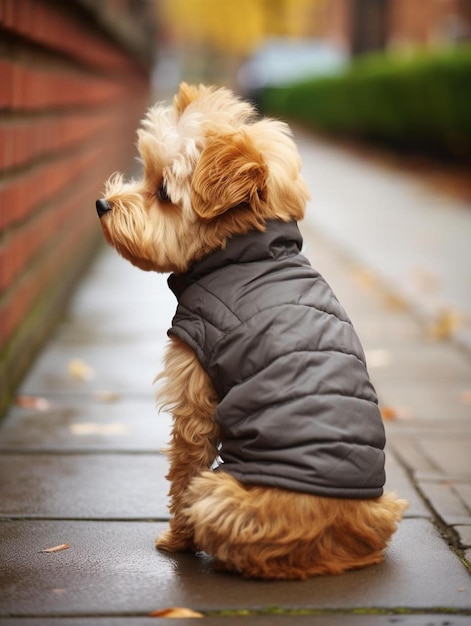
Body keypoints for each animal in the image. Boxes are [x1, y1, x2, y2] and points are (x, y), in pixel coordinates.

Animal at [97, 84, 410, 580]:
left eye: (163, 192)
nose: (102, 204)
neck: (251, 251)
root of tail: (333, 544)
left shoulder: (195, 390)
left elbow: (183, 468)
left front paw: (176, 541)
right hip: (387, 506)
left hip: (219, 494)